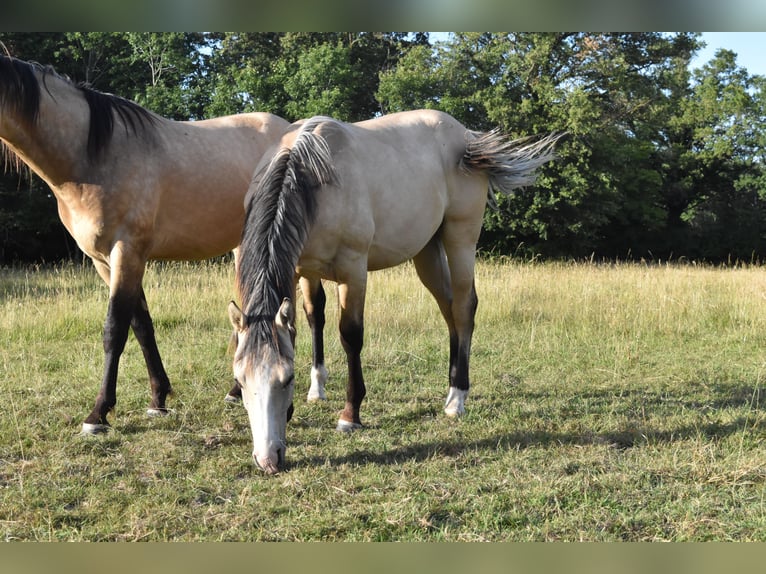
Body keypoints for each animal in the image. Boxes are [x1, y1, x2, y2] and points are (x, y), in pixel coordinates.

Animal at [0, 53, 317, 434]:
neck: (91, 157)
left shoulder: (127, 251)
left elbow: (114, 330)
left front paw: (98, 414)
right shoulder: (106, 261)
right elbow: (141, 327)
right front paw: (158, 399)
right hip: (245, 248)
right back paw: (235, 391)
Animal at [228, 111, 560, 473]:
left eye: (286, 379)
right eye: (240, 381)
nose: (268, 459)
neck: (310, 172)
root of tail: (467, 137)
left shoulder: (353, 270)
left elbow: (351, 336)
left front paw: (350, 414)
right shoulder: (302, 270)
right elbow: (312, 320)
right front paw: (316, 389)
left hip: (461, 240)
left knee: (463, 308)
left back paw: (457, 398)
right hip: (427, 251)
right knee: (448, 309)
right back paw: (450, 387)